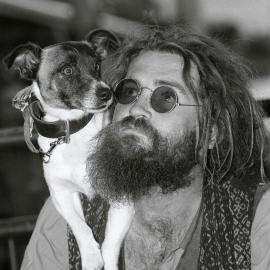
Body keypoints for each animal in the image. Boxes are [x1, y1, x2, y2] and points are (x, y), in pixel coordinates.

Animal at [3, 29, 134, 270]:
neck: (73, 130)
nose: (106, 93)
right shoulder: (61, 194)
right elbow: (79, 225)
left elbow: (110, 243)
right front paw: (91, 256)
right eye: (67, 70)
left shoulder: (121, 199)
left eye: (97, 66)